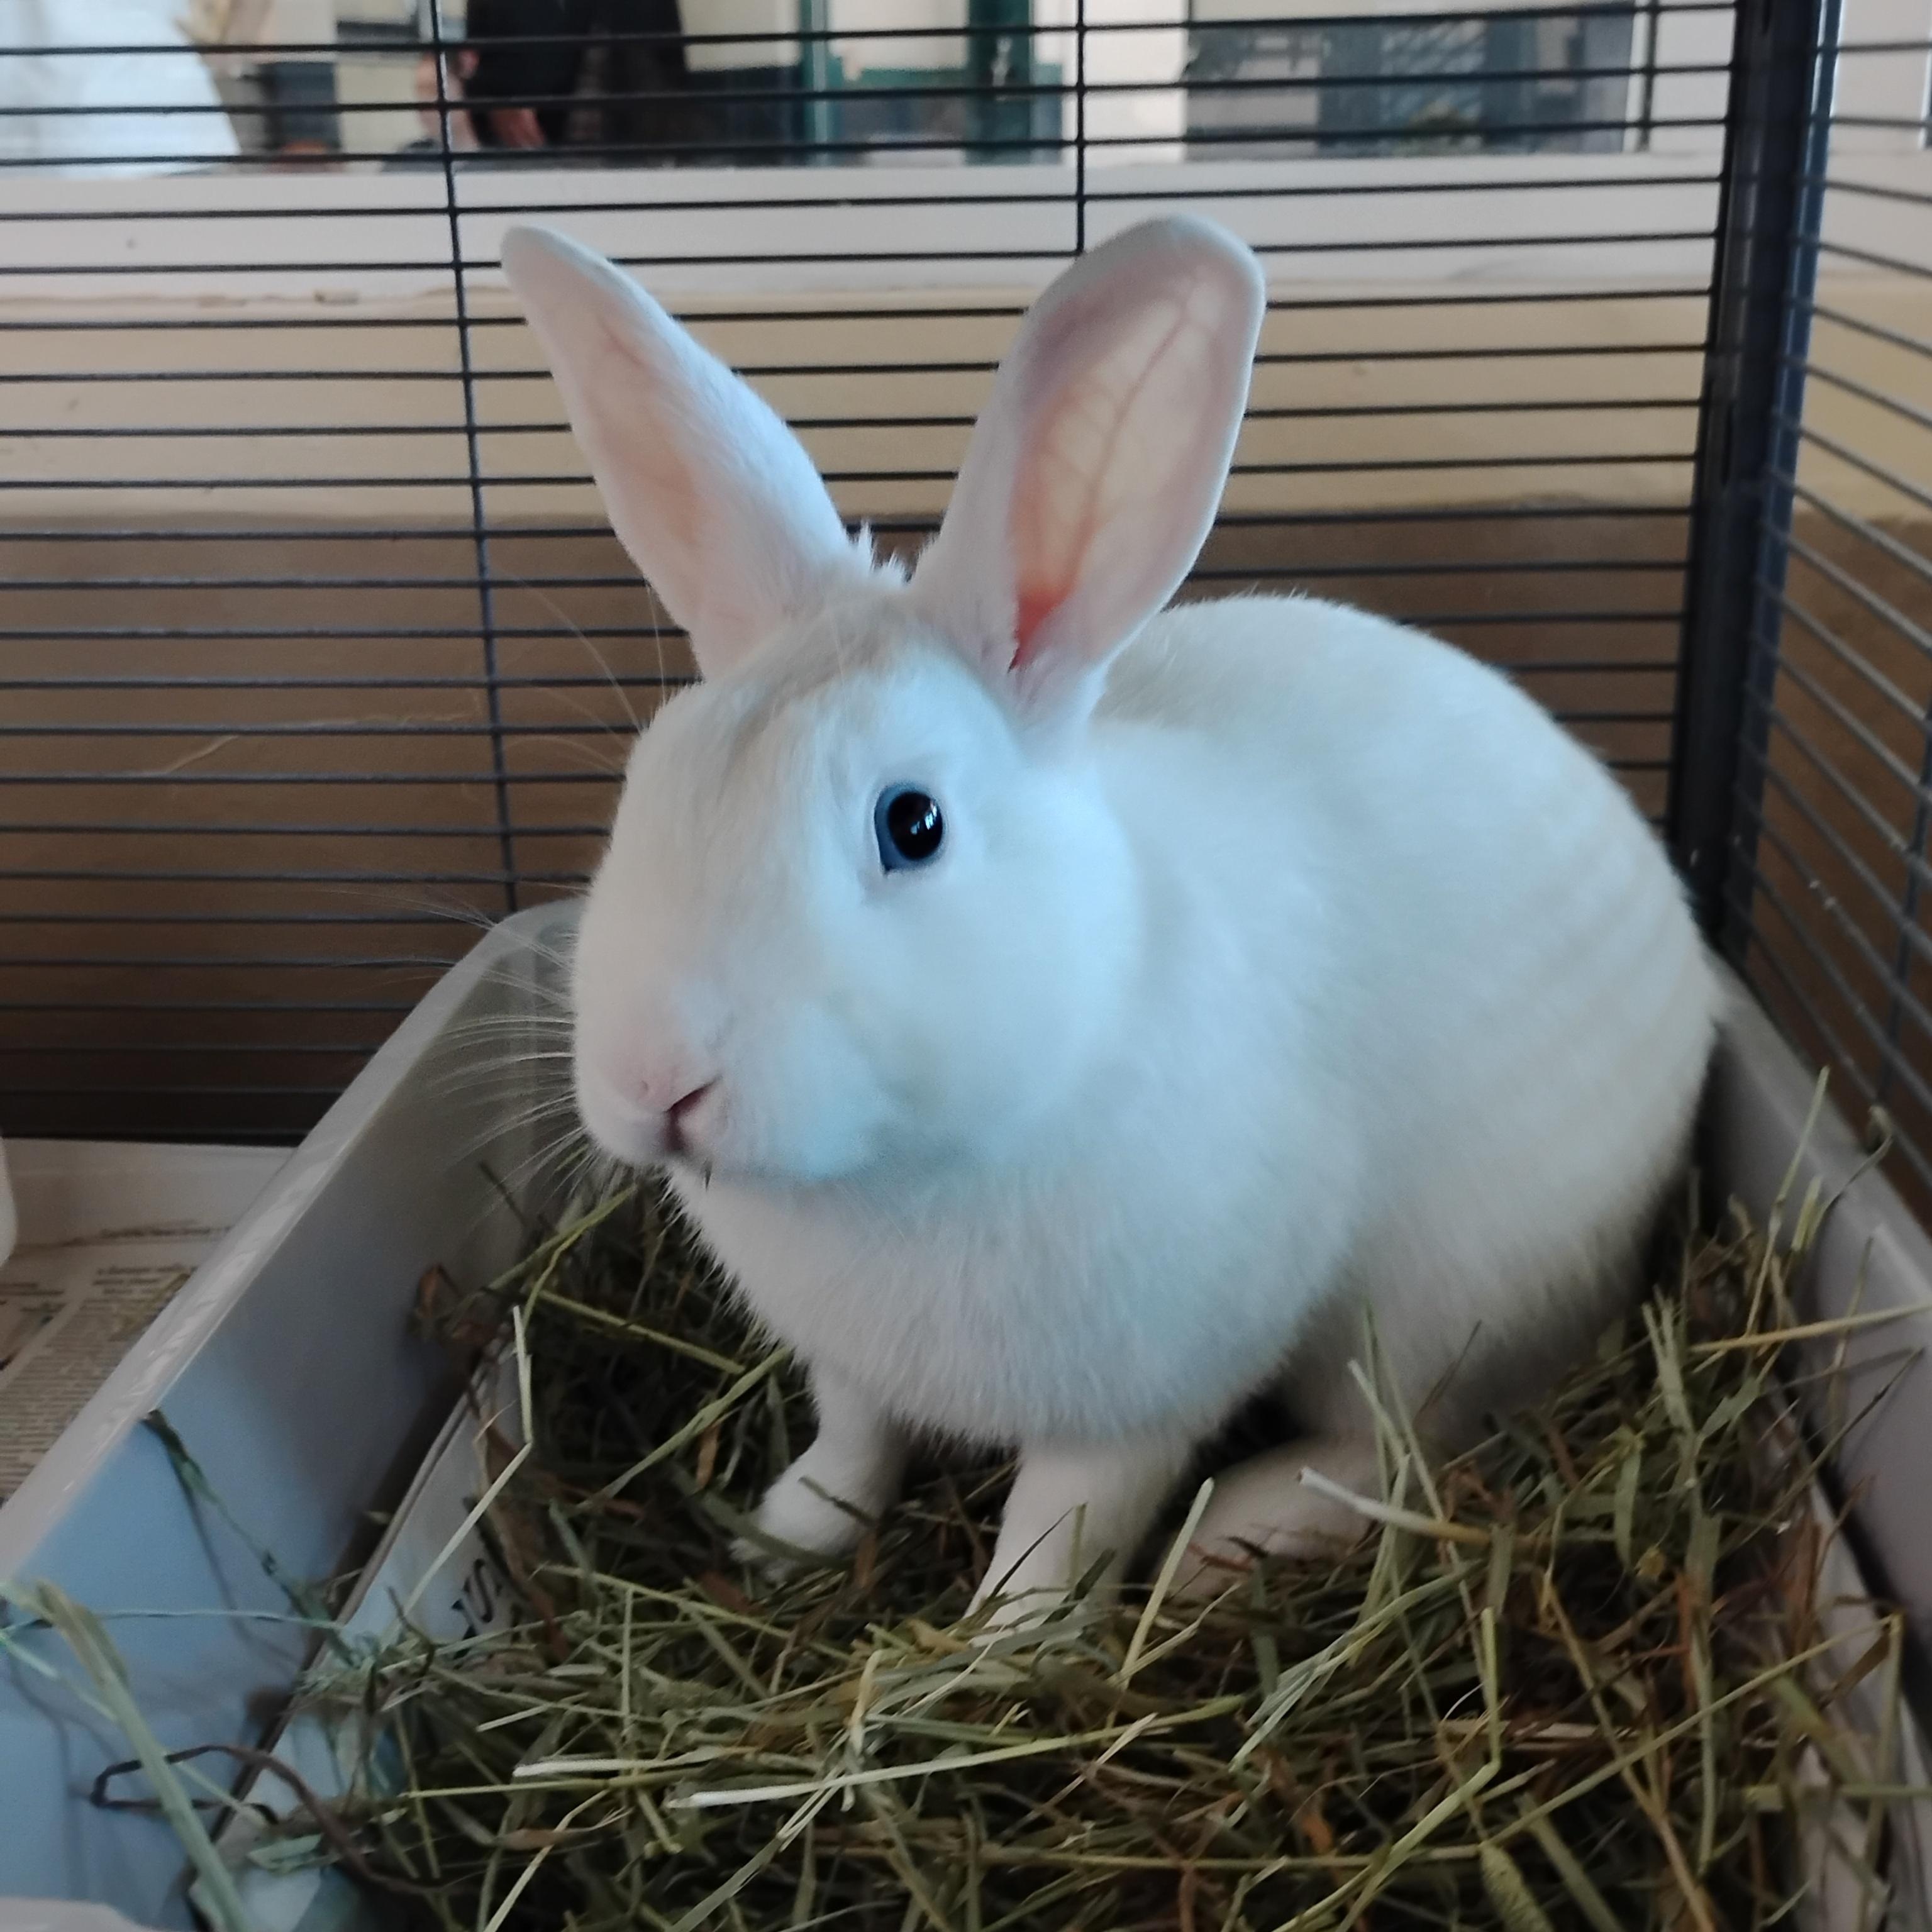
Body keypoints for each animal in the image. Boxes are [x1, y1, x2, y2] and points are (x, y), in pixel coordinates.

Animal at [500, 214, 1720, 1620]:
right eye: (647, 782)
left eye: (911, 824)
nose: (656, 1084)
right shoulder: (850, 1368)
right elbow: (852, 1447)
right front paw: (780, 1537)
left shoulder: (1135, 1404)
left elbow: (1060, 1532)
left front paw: (995, 1643)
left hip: (1435, 1317)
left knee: (1404, 1452)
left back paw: (1229, 1538)